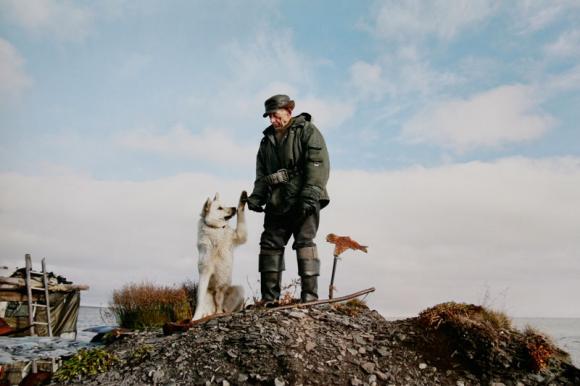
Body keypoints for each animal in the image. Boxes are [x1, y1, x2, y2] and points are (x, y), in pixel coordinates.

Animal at [193, 190, 247, 320]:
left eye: (225, 205)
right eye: (220, 208)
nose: (233, 208)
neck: (216, 229)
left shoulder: (240, 235)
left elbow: (241, 216)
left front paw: (242, 200)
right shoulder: (205, 271)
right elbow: (199, 301)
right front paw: (195, 318)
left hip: (239, 290)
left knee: (224, 308)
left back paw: (226, 312)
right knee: (207, 306)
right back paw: (207, 314)